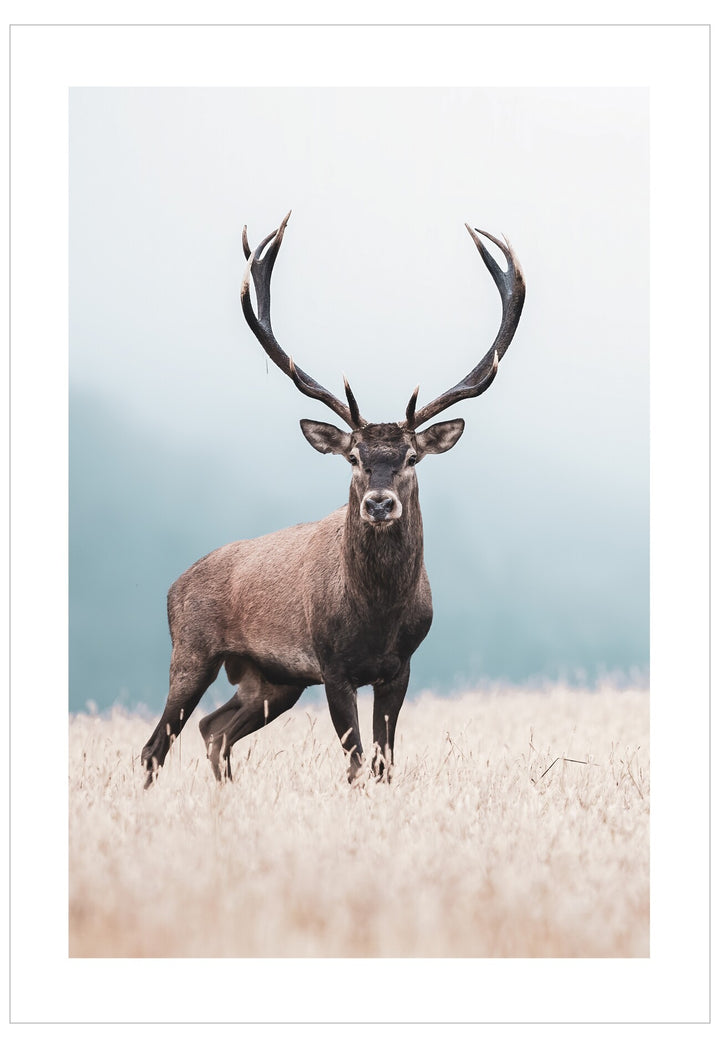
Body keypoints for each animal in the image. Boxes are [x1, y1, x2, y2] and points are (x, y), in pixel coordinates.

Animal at [141, 212, 525, 788]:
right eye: (354, 458)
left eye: (412, 456)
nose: (380, 503)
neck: (376, 616)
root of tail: (173, 586)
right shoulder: (331, 664)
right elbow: (357, 762)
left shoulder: (400, 666)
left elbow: (384, 762)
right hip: (192, 650)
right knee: (157, 743)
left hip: (272, 680)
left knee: (215, 728)